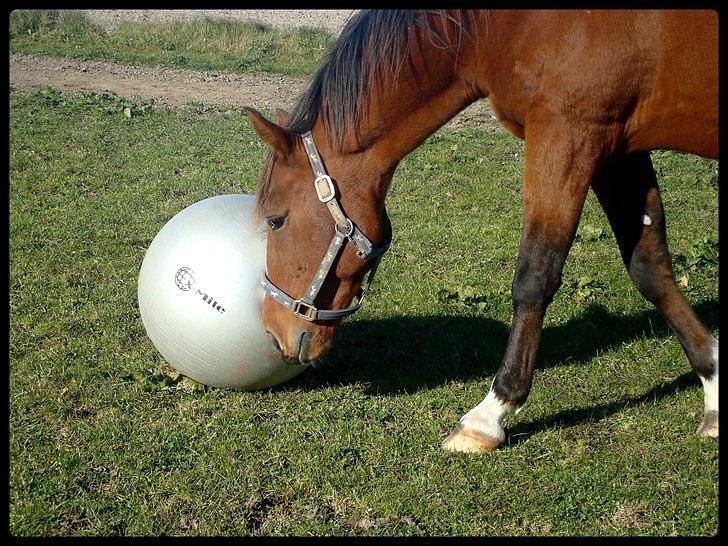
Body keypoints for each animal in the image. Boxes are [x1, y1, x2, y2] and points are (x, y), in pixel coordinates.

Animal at [246, 10, 716, 452]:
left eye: (276, 220)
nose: (273, 331)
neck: (500, 29)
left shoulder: (569, 134)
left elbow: (534, 278)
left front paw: (490, 415)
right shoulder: (619, 150)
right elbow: (650, 269)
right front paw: (712, 388)